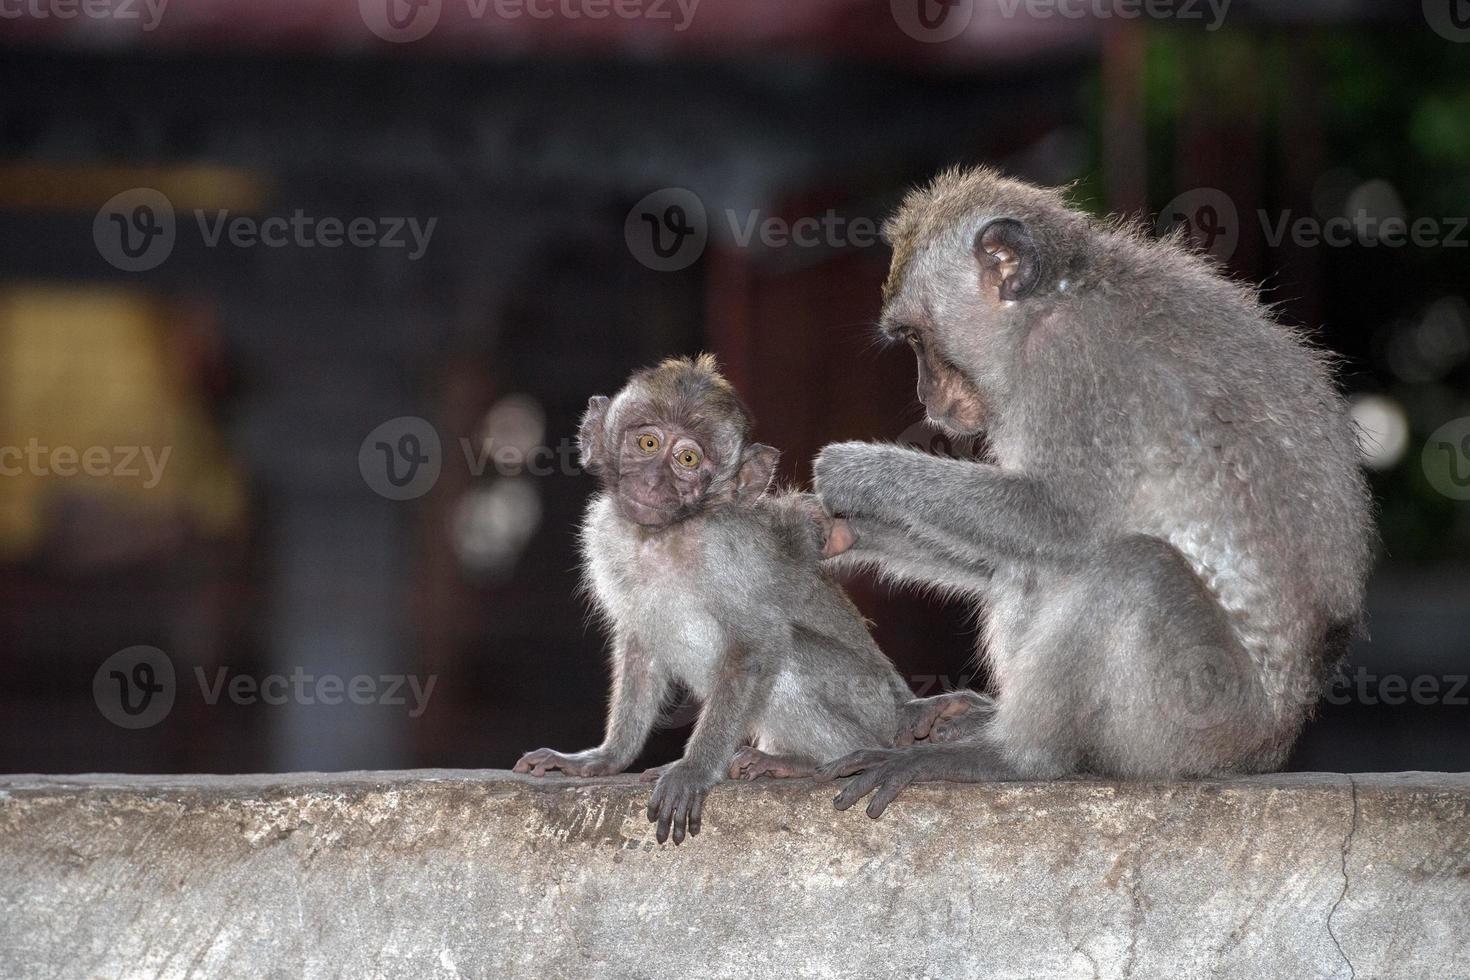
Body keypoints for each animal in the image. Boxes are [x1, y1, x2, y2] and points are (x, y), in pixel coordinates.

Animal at [514, 357, 905, 846]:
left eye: (687, 459)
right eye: (647, 442)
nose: (652, 481)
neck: (664, 535)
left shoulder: (724, 551)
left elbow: (757, 646)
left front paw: (694, 769)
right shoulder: (604, 534)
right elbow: (641, 647)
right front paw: (605, 758)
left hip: (870, 705)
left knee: (789, 653)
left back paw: (810, 760)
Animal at [811, 168, 1370, 822]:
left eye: (919, 340)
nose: (926, 397)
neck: (1053, 301)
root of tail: (1271, 745)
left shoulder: (1072, 367)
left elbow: (1060, 521)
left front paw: (854, 471)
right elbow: (1013, 547)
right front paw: (846, 529)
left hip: (1196, 723)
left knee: (1131, 570)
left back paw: (1015, 757)